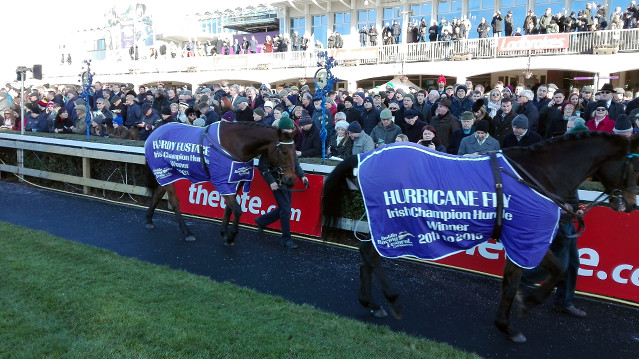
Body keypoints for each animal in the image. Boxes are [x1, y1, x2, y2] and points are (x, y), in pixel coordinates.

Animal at [144, 122, 298, 246]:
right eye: (284, 152)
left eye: (295, 152)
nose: (291, 179)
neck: (236, 144)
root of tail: (156, 131)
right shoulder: (221, 181)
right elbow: (237, 209)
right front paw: (231, 236)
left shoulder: (236, 181)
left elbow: (229, 208)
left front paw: (224, 232)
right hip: (162, 169)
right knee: (174, 201)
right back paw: (187, 232)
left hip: (167, 173)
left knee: (158, 193)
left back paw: (149, 220)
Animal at [324, 131, 639, 344]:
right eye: (634, 167)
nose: (632, 204)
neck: (537, 175)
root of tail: (363, 157)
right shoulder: (528, 237)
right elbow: (554, 272)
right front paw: (526, 306)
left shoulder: (521, 238)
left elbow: (514, 282)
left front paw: (506, 321)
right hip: (394, 224)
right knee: (372, 255)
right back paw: (392, 300)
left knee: (366, 255)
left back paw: (371, 303)